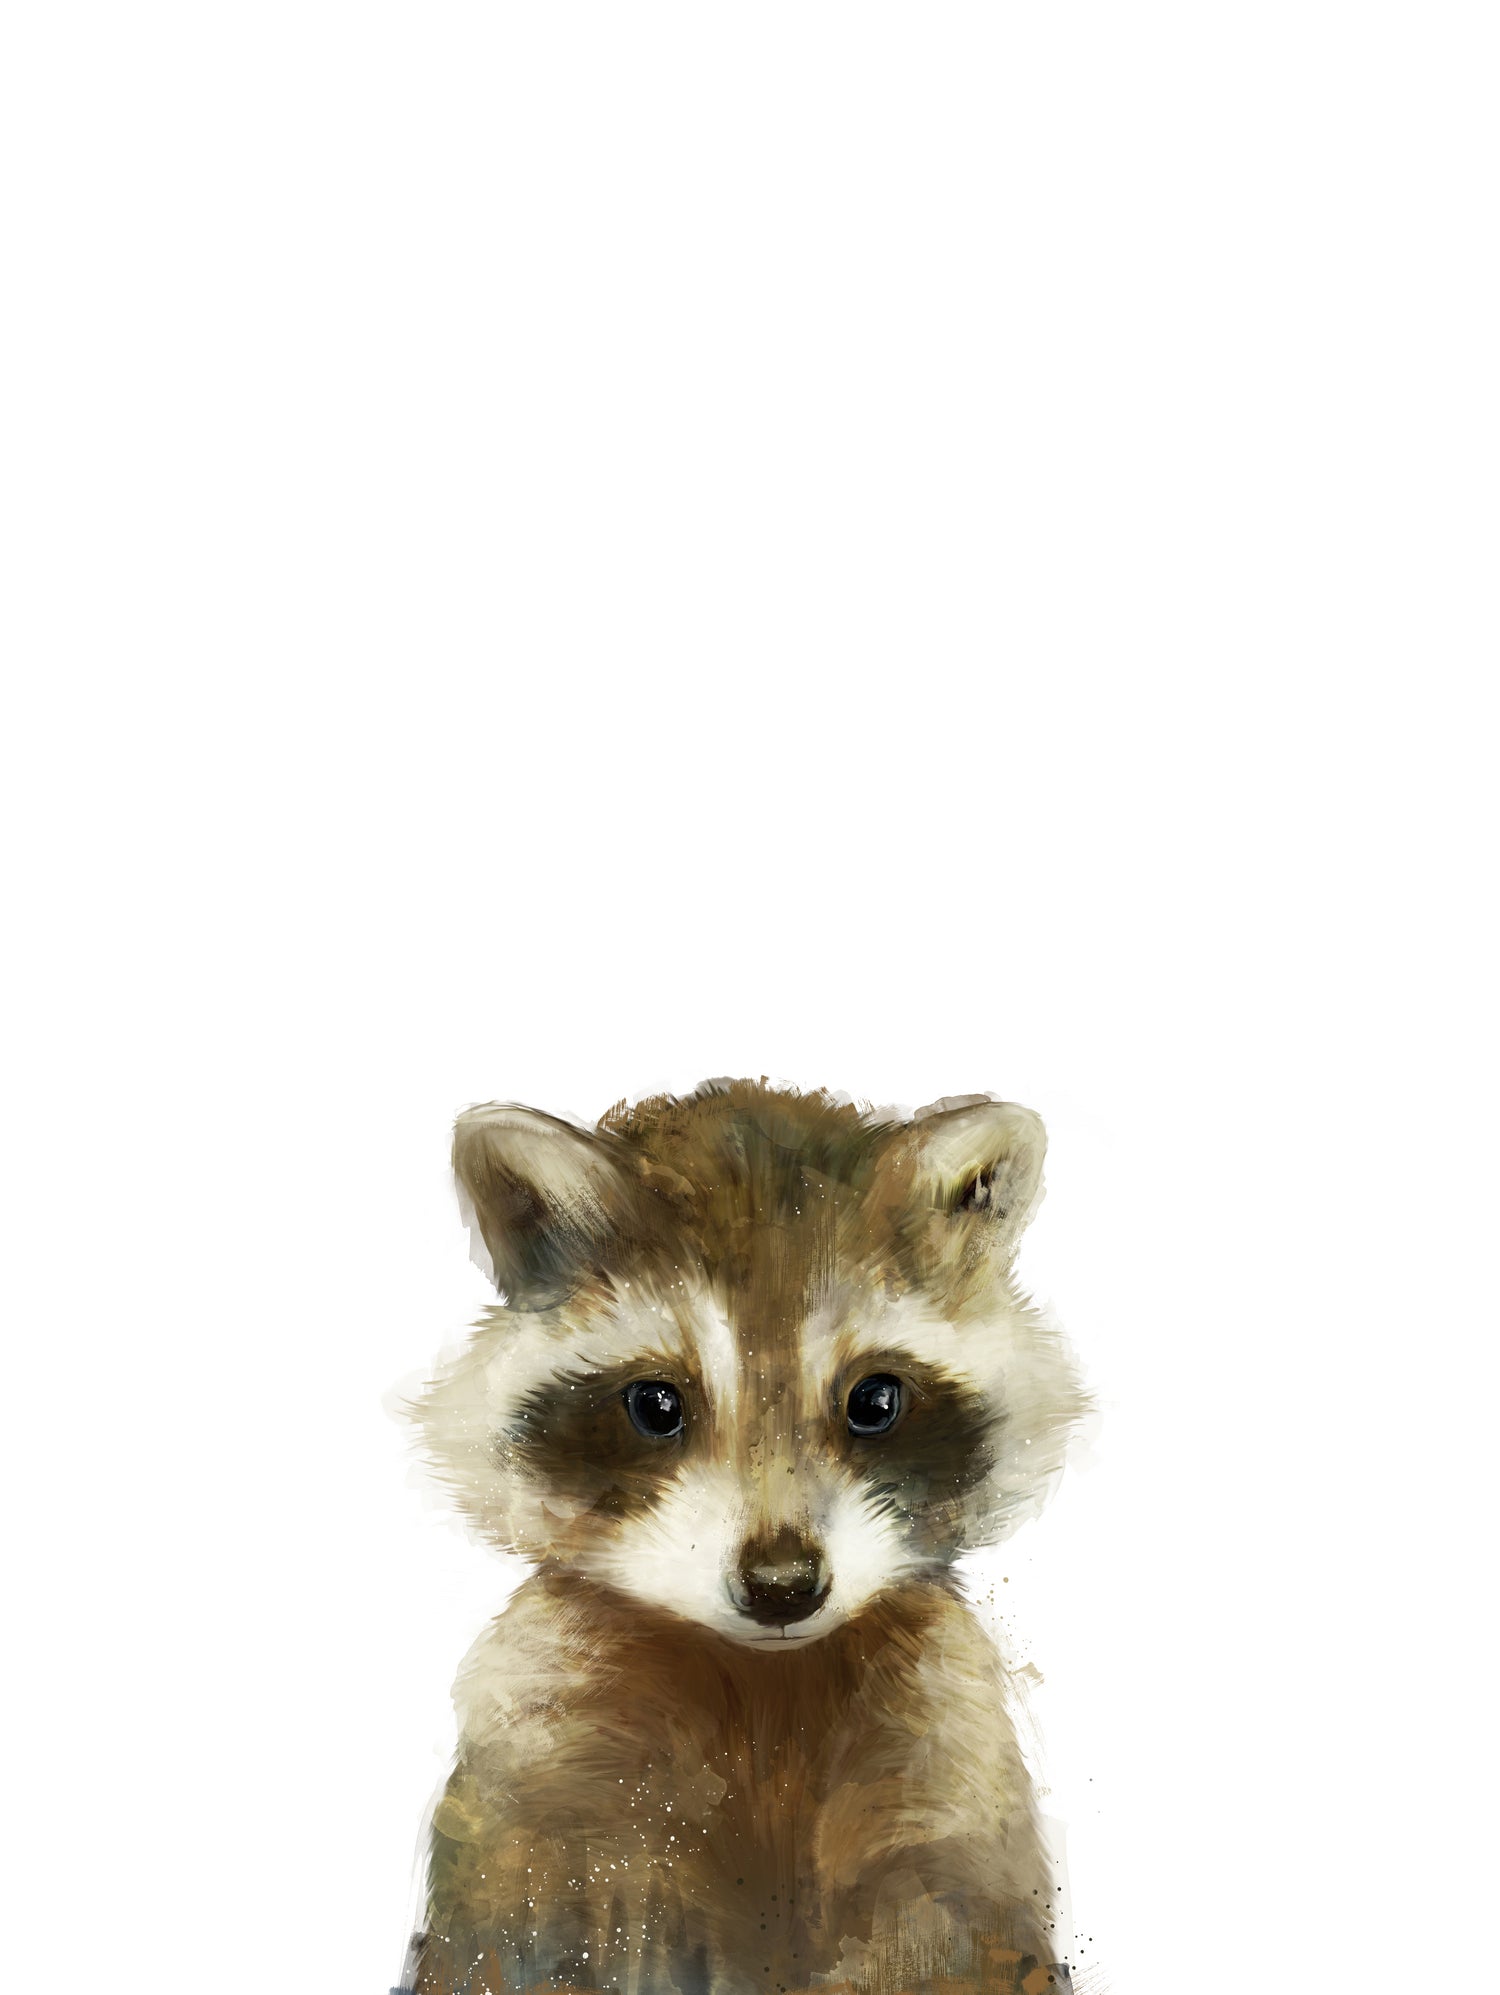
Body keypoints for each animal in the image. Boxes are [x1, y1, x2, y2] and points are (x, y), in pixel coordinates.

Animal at [402, 1080, 1086, 1995]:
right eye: (656, 1403)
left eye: (875, 1400)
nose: (782, 1583)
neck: (766, 1682)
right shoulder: (542, 1772)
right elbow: (520, 1940)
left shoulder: (947, 1765)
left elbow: (954, 1936)